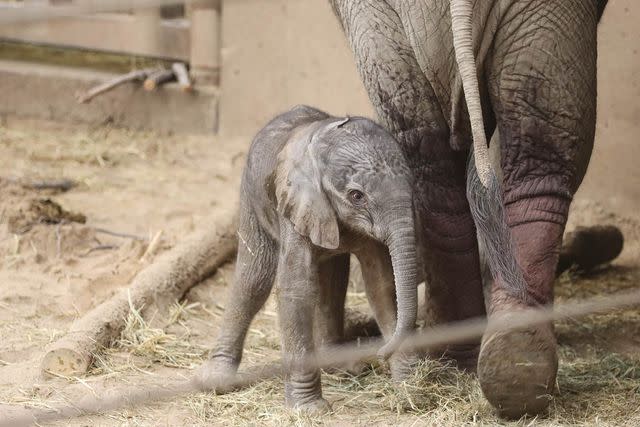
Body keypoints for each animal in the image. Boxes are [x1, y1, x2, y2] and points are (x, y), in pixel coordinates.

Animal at [194, 105, 420, 412]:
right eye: (356, 196)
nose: (381, 354)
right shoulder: (296, 204)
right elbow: (296, 288)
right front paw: (310, 410)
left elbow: (382, 283)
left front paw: (409, 390)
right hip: (252, 198)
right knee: (253, 280)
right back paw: (217, 381)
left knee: (331, 282)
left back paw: (341, 367)